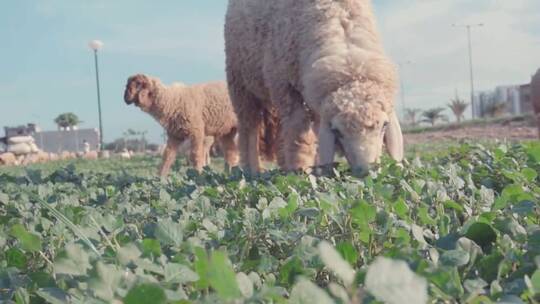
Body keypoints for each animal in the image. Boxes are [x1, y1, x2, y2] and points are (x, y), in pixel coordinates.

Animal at [225, 0, 404, 176]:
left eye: (384, 125)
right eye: (337, 131)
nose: (367, 171)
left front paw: (318, 169)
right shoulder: (285, 87)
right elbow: (298, 130)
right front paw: (301, 170)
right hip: (240, 83)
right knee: (249, 128)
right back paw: (253, 170)